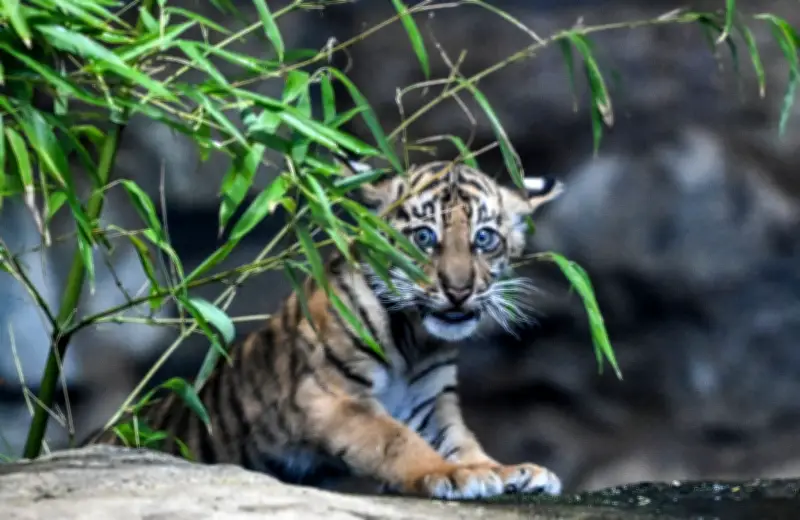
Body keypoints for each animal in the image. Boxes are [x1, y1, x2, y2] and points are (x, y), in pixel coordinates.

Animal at [87, 159, 565, 500]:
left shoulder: (431, 404)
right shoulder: (328, 396)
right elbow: (396, 440)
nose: (459, 290)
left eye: (484, 239)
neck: (414, 342)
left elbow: (462, 442)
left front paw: (510, 471)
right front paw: (450, 475)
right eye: (424, 237)